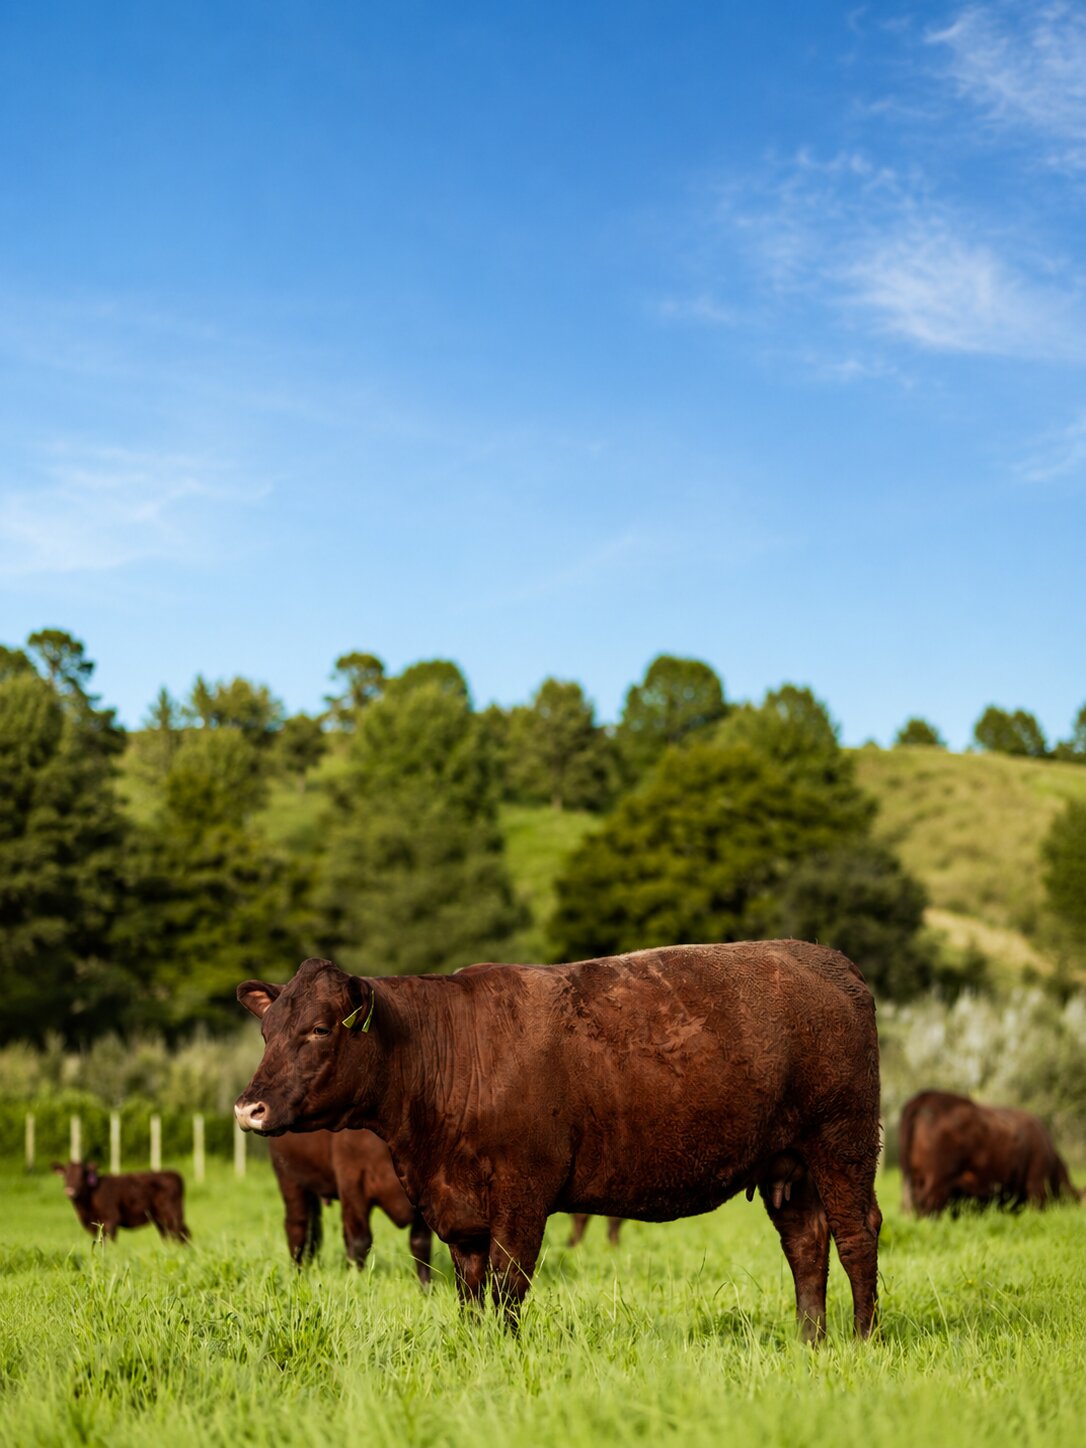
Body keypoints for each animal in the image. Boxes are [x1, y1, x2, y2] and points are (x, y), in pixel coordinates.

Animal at [52, 1161, 190, 1243]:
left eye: (82, 1175)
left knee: (183, 1234)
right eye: (65, 1176)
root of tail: (174, 1174)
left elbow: (108, 1241)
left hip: (172, 1215)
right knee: (169, 1235)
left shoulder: (111, 1219)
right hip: (160, 1219)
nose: (70, 1190)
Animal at [269, 1128, 432, 1283]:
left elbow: (420, 1244)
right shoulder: (351, 1182)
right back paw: (297, 1273)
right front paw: (356, 1281)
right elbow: (361, 1241)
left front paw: (426, 1287)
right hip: (288, 1177)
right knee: (297, 1226)